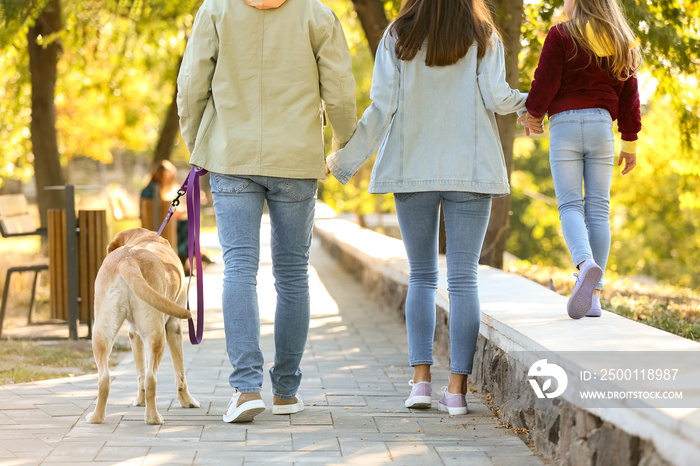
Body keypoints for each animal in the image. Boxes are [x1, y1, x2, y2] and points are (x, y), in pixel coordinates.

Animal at [86, 228, 200, 424]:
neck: (143, 238)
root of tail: (128, 259)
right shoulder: (174, 327)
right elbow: (180, 372)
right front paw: (187, 401)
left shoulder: (133, 333)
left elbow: (139, 370)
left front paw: (139, 400)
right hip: (157, 336)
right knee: (151, 378)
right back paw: (153, 418)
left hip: (101, 334)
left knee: (105, 378)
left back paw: (96, 417)